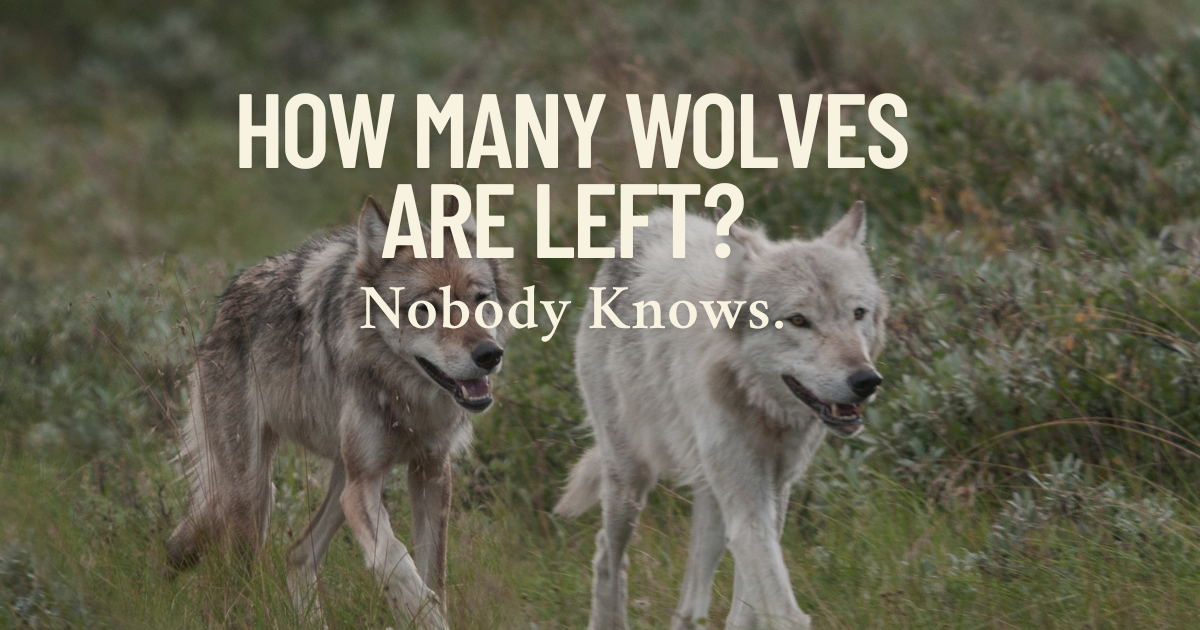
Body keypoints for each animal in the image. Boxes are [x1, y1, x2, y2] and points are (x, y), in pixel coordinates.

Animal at [165, 197, 514, 630]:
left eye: (481, 300)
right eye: (424, 309)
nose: (489, 355)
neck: (405, 395)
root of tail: (221, 309)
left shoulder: (430, 471)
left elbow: (433, 572)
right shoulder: (363, 485)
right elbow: (394, 559)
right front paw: (420, 611)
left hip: (336, 478)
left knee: (297, 555)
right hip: (255, 493)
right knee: (240, 583)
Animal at [554, 202, 887, 630]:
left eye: (858, 313)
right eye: (798, 320)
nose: (866, 381)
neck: (758, 405)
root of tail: (648, 221)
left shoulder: (774, 489)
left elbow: (750, 599)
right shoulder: (747, 498)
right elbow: (779, 604)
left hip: (710, 496)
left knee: (690, 598)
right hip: (629, 479)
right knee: (607, 556)